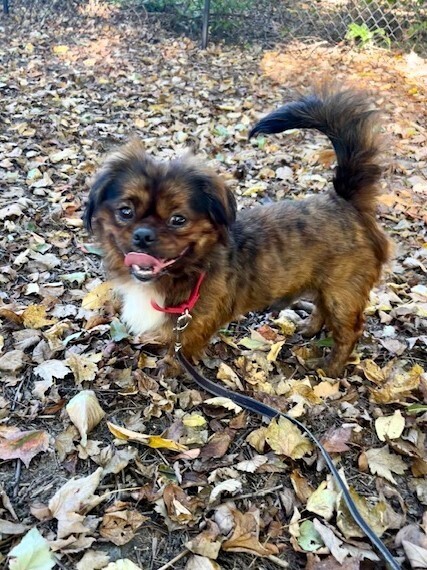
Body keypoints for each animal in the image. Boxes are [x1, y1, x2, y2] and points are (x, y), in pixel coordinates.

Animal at [83, 84, 392, 374]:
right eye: (125, 212)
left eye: (178, 220)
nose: (143, 235)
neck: (188, 270)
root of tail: (346, 202)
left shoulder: (193, 327)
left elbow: (178, 352)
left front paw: (168, 370)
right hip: (325, 286)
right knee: (322, 309)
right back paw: (310, 329)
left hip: (343, 294)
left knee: (349, 332)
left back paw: (332, 368)